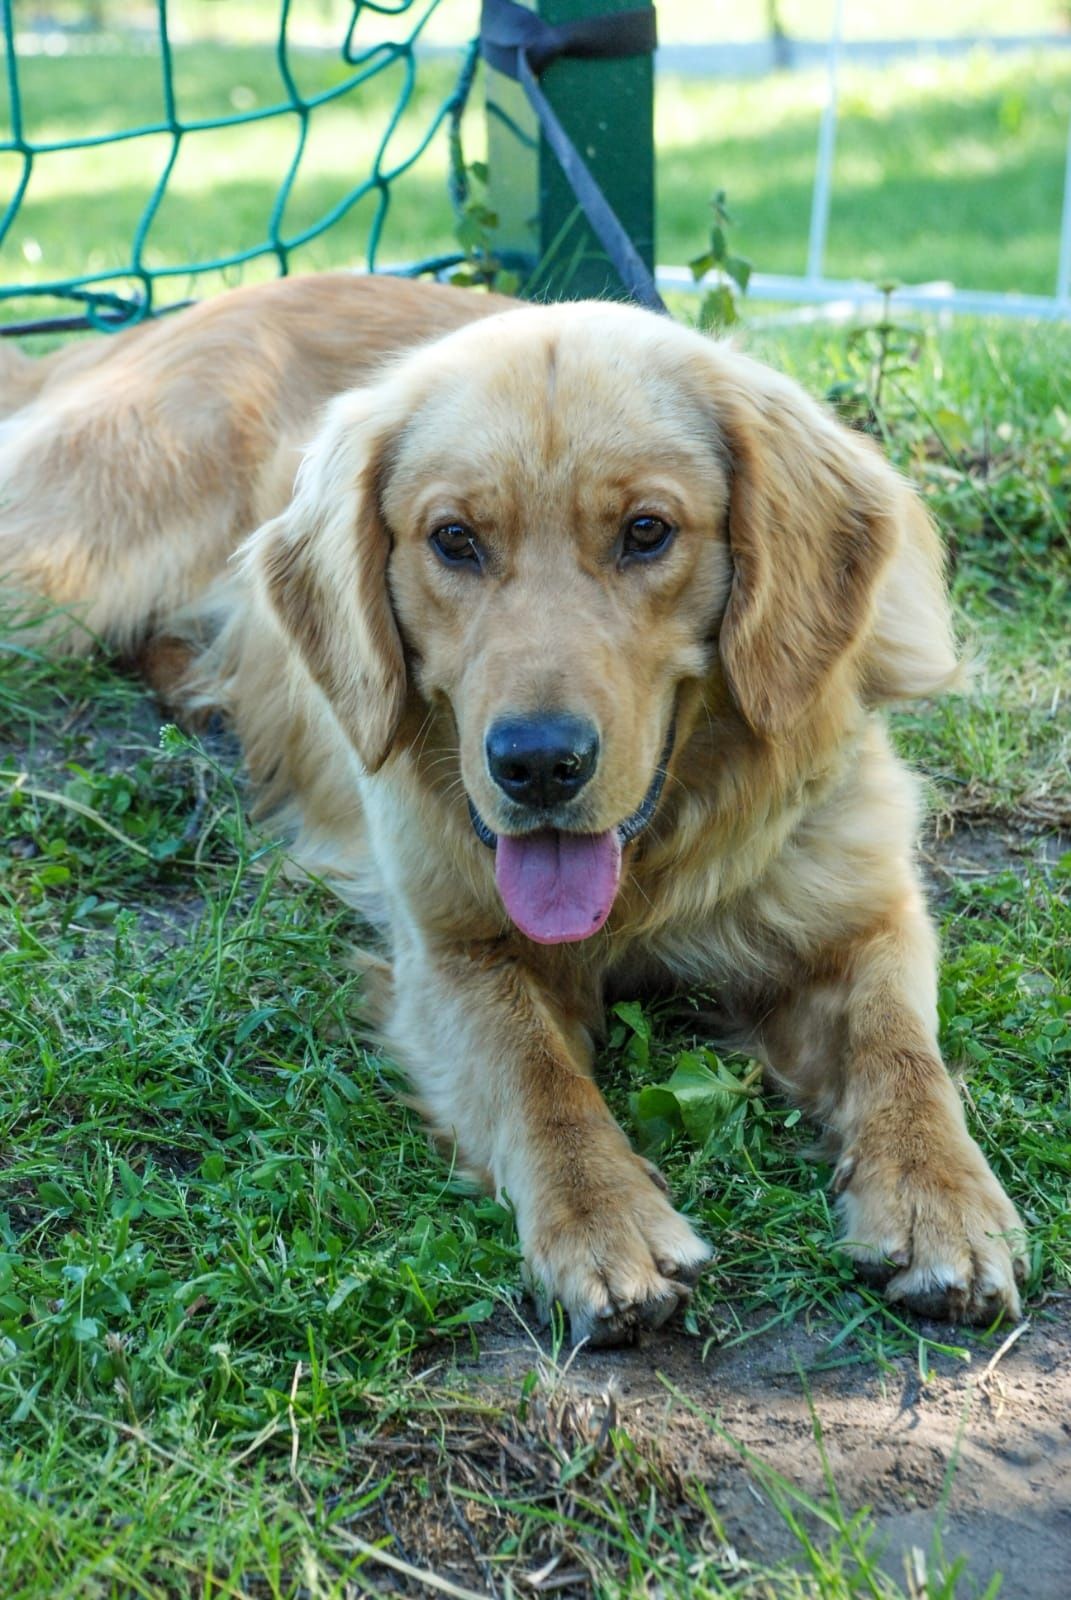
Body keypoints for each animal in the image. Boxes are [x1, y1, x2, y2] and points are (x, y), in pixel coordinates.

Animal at [2, 278, 1024, 1350]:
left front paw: (940, 1201)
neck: (653, 872)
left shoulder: (863, 912)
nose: (536, 764)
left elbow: (901, 1054)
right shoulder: (453, 949)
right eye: (454, 539)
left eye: (646, 531)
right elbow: (538, 1081)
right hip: (60, 574)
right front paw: (605, 1217)